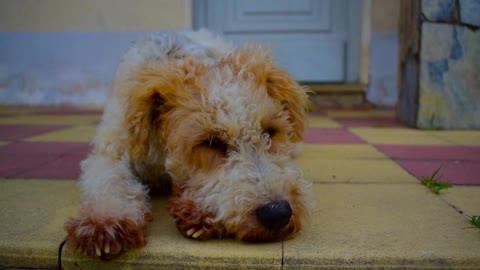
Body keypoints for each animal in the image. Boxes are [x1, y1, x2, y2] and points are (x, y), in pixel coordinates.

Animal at [65, 30, 314, 258]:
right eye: (211, 142)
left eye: (270, 131)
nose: (278, 213)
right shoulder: (110, 151)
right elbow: (110, 179)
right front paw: (106, 222)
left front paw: (198, 213)